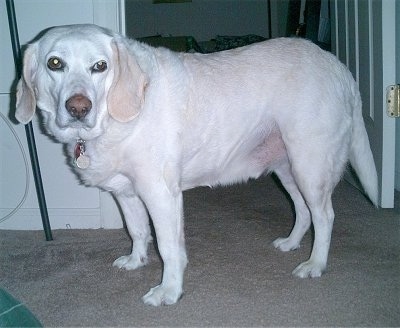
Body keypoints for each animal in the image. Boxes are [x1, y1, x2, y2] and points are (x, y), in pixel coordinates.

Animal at [15, 24, 378, 306]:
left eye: (100, 66)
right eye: (55, 63)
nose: (78, 107)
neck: (116, 117)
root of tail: (340, 67)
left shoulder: (161, 194)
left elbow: (169, 248)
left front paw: (169, 292)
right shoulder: (125, 192)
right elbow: (137, 231)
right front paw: (136, 260)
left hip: (309, 165)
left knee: (325, 216)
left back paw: (315, 264)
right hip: (287, 169)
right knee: (303, 211)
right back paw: (291, 244)